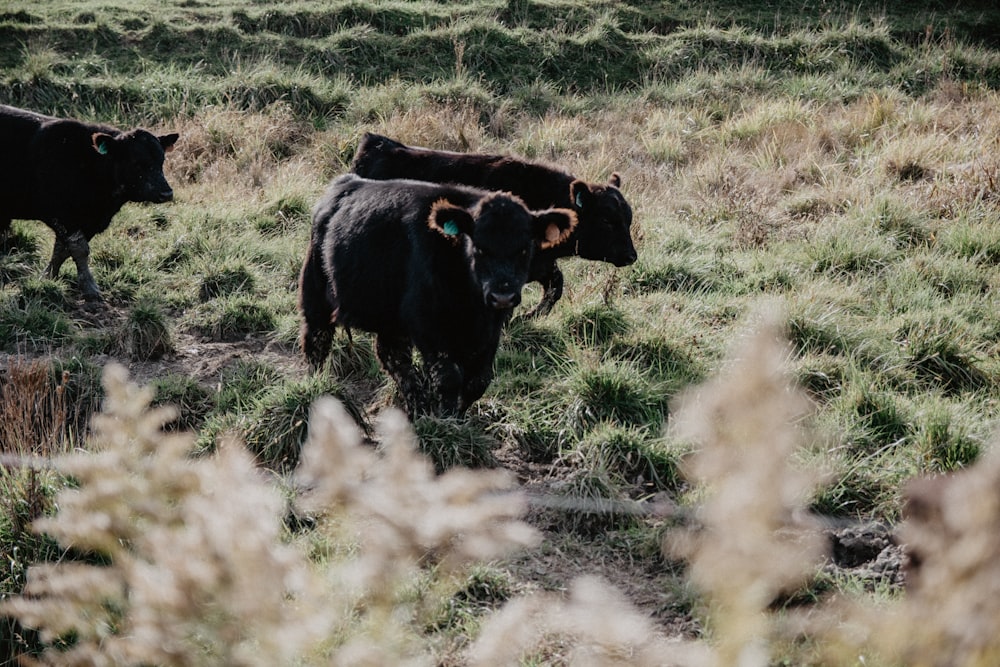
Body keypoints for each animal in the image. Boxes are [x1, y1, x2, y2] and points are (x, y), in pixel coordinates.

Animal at [0, 103, 180, 300]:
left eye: (162, 160)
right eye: (136, 163)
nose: (166, 193)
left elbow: (61, 251)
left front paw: (48, 277)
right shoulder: (62, 217)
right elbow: (79, 249)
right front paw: (89, 287)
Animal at [298, 175, 580, 420]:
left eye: (524, 248)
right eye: (479, 247)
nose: (502, 296)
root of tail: (346, 183)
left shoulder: (490, 329)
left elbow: (479, 380)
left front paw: (458, 415)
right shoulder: (427, 324)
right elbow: (448, 376)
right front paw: (446, 419)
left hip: (391, 320)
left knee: (392, 356)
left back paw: (417, 407)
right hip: (315, 298)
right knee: (317, 343)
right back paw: (316, 384)